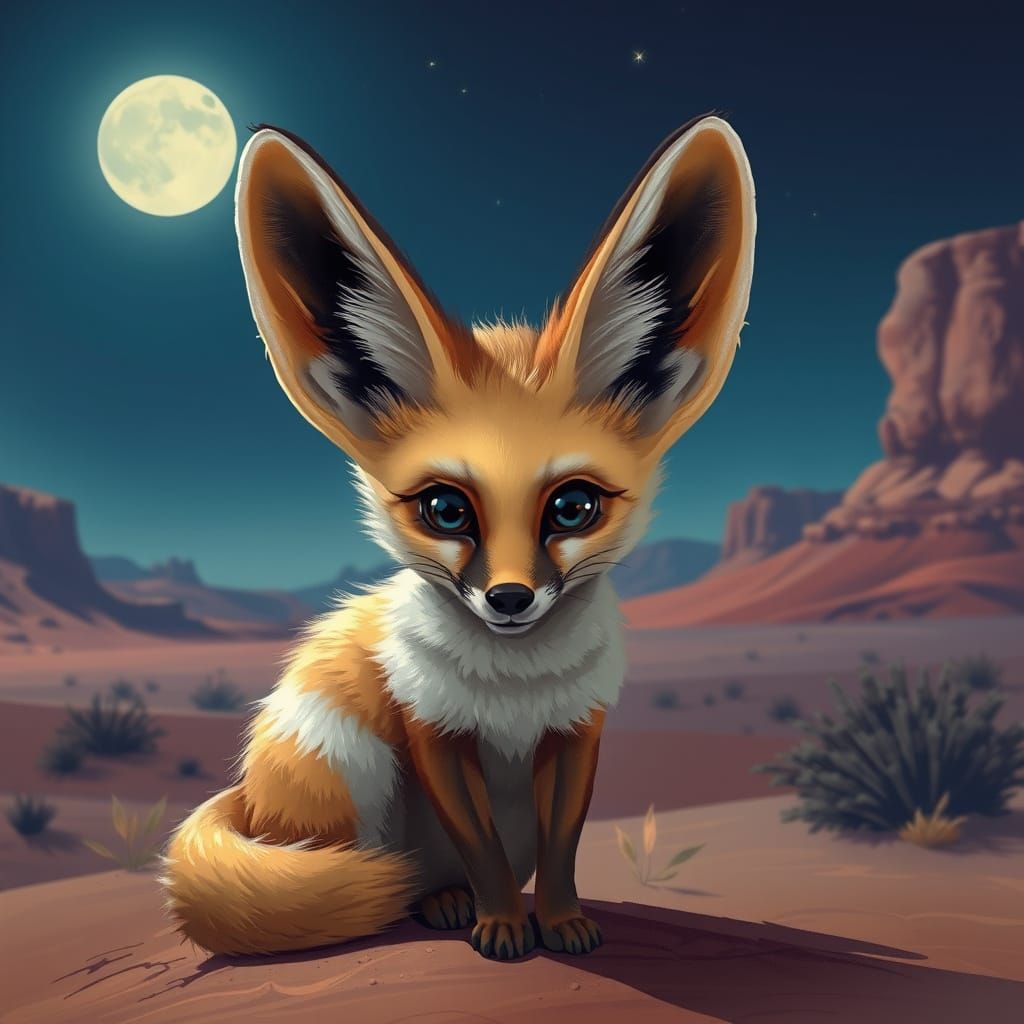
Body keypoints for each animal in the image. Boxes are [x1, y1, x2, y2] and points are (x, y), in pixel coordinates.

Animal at [160, 112, 755, 961]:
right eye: (445, 510)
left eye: (573, 507)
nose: (509, 599)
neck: (515, 689)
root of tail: (246, 794)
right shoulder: (434, 733)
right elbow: (480, 846)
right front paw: (503, 923)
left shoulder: (576, 733)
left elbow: (563, 845)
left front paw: (562, 921)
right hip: (355, 762)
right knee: (367, 868)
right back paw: (436, 902)